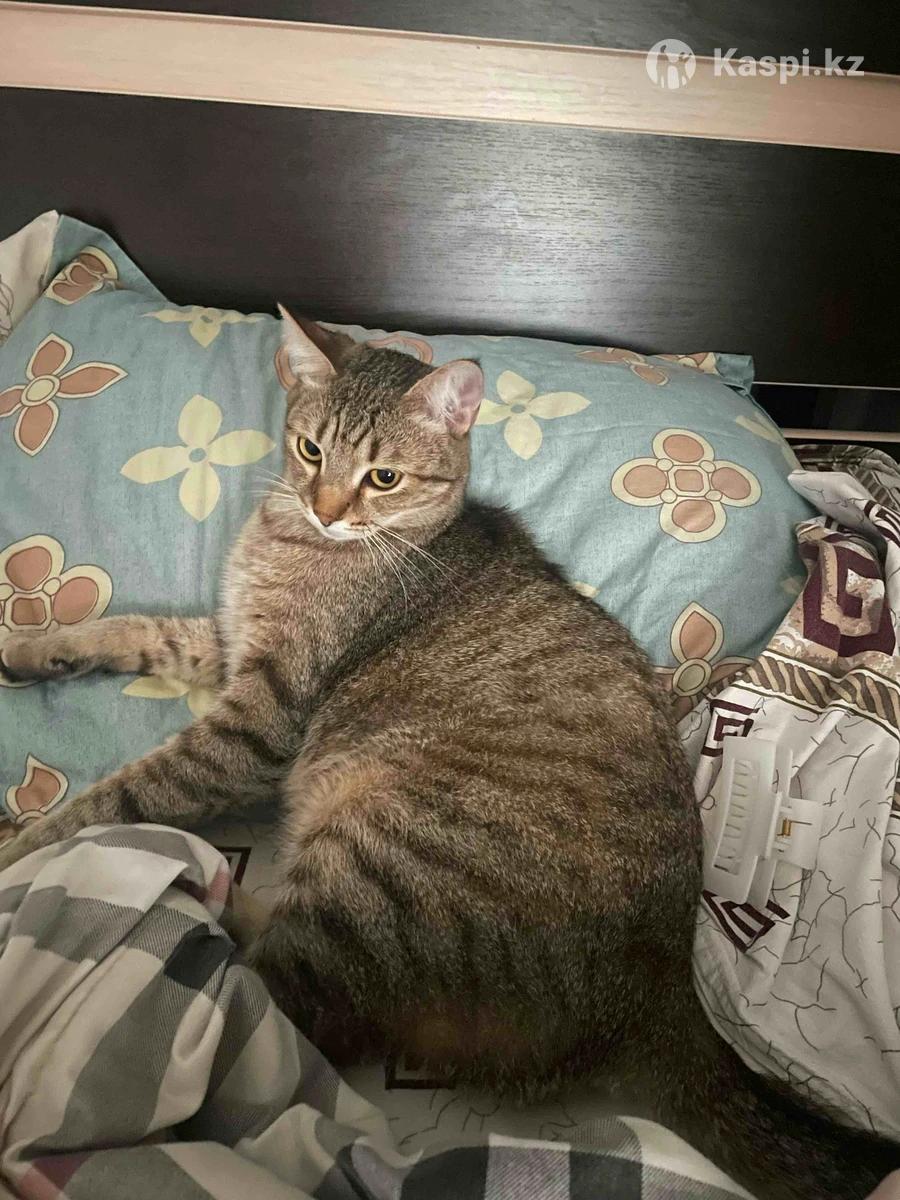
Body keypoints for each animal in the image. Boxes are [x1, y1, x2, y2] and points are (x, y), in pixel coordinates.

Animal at [1, 311, 897, 1200]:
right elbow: (139, 628)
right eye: (312, 450)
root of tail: (662, 988)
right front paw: (37, 646)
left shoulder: (261, 717)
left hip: (375, 857)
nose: (327, 508)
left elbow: (125, 794)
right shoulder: (224, 650)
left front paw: (27, 852)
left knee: (278, 1013)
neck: (303, 541)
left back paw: (193, 899)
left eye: (384, 477)